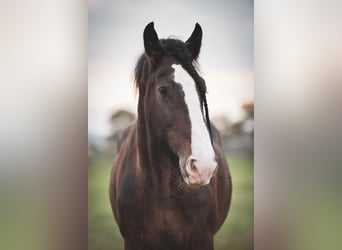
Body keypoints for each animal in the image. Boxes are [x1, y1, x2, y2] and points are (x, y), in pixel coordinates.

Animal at [109, 22, 232, 249]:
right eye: (163, 90)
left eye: (202, 88)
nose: (203, 167)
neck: (161, 192)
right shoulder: (133, 241)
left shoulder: (202, 239)